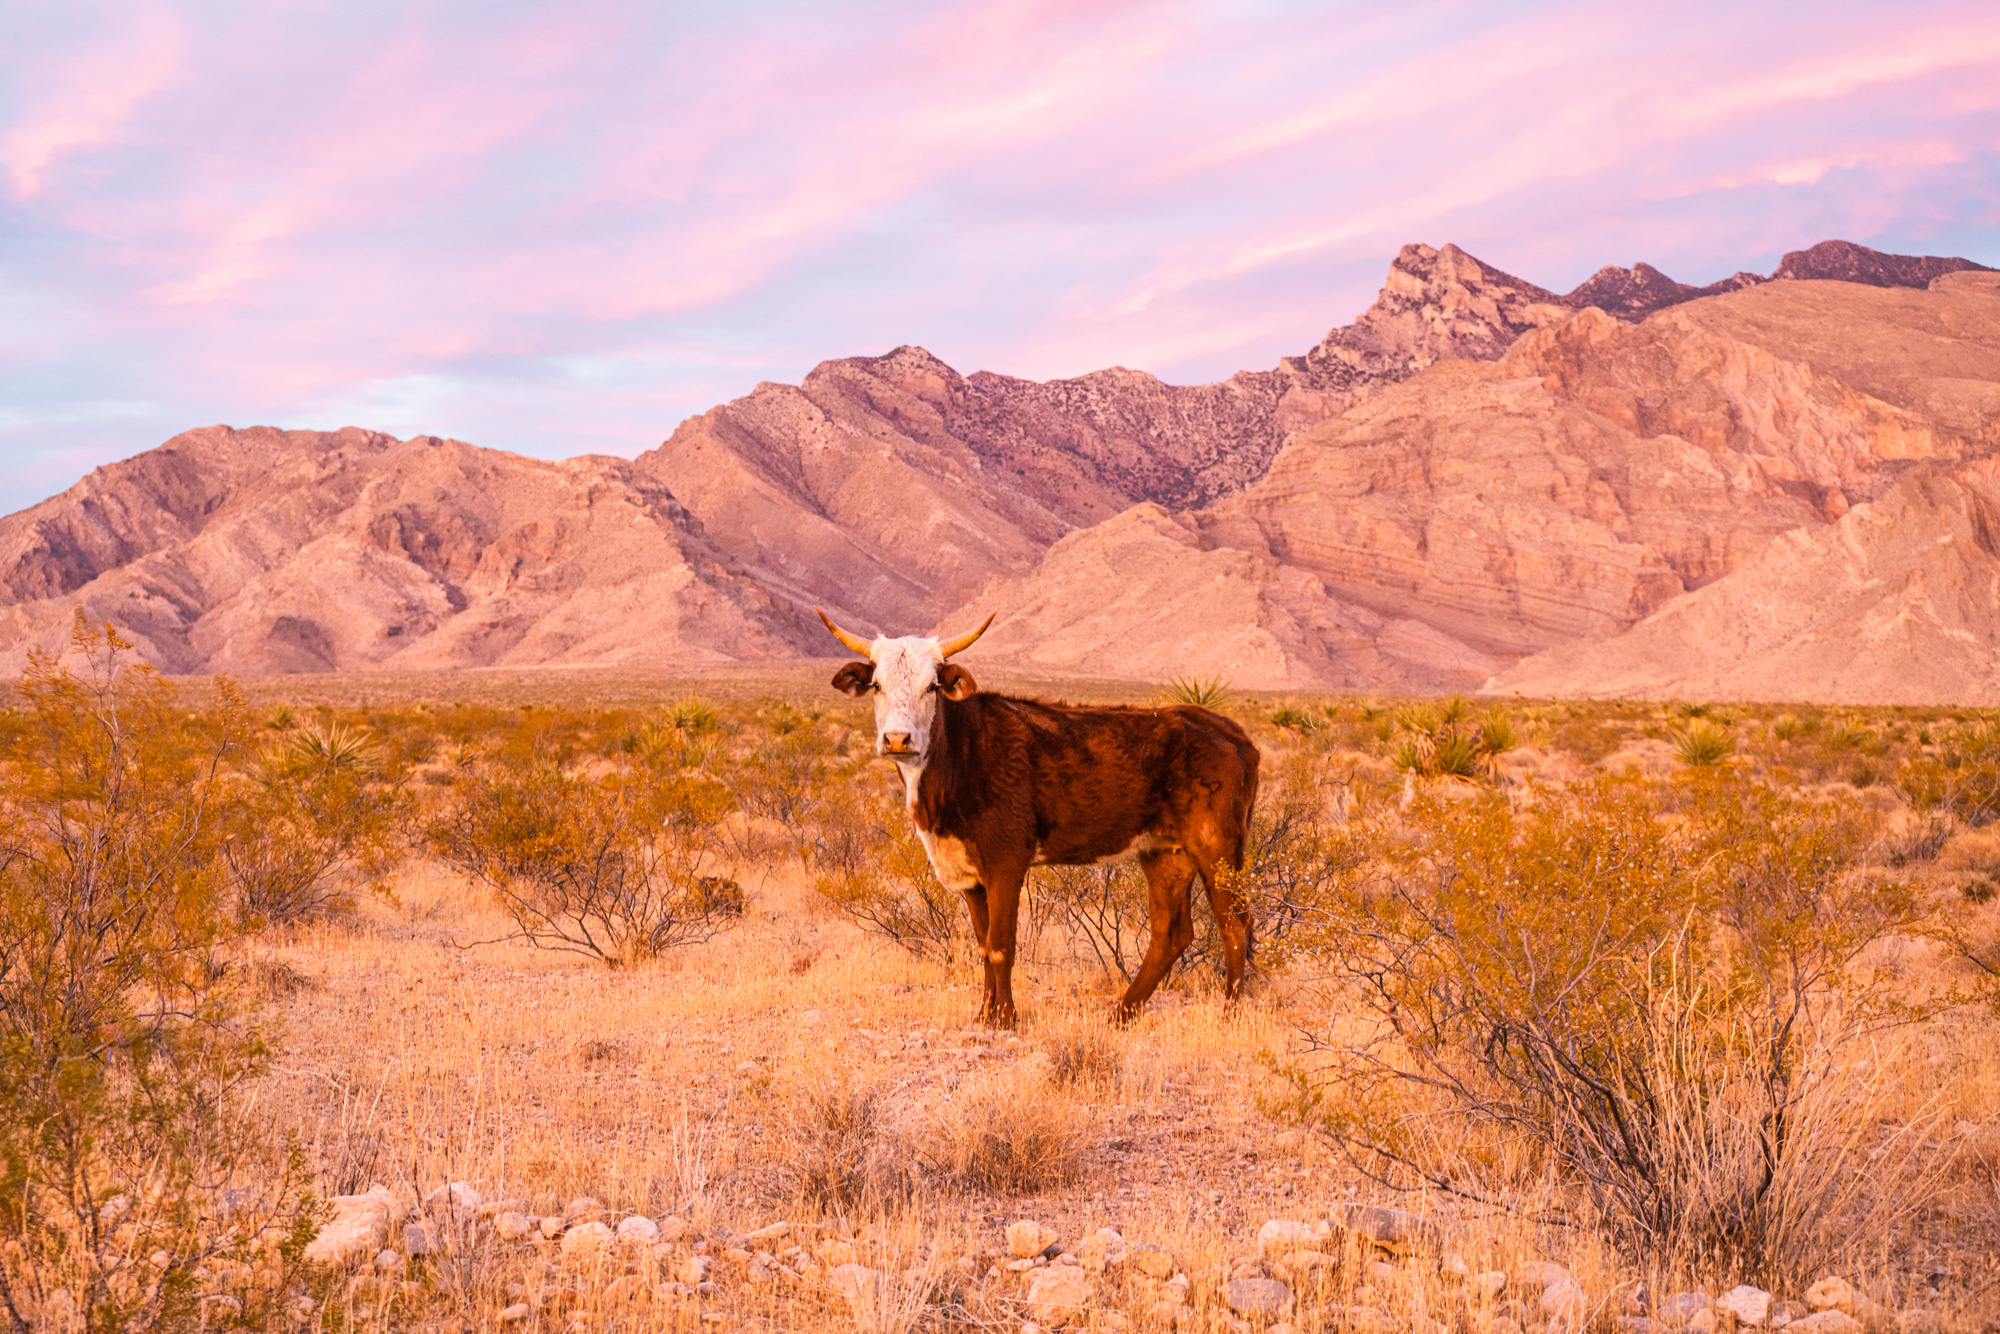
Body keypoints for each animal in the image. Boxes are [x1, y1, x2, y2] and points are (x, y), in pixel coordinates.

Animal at [816, 612, 1256, 1032]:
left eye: (931, 687)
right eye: (876, 686)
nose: (897, 739)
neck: (958, 754)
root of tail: (1230, 730)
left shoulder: (1006, 862)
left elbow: (1000, 946)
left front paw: (1005, 1019)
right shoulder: (969, 873)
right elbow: (983, 945)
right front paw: (984, 1016)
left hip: (1217, 846)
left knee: (1233, 923)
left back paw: (1231, 1014)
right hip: (1164, 853)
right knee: (1170, 934)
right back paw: (1121, 1015)